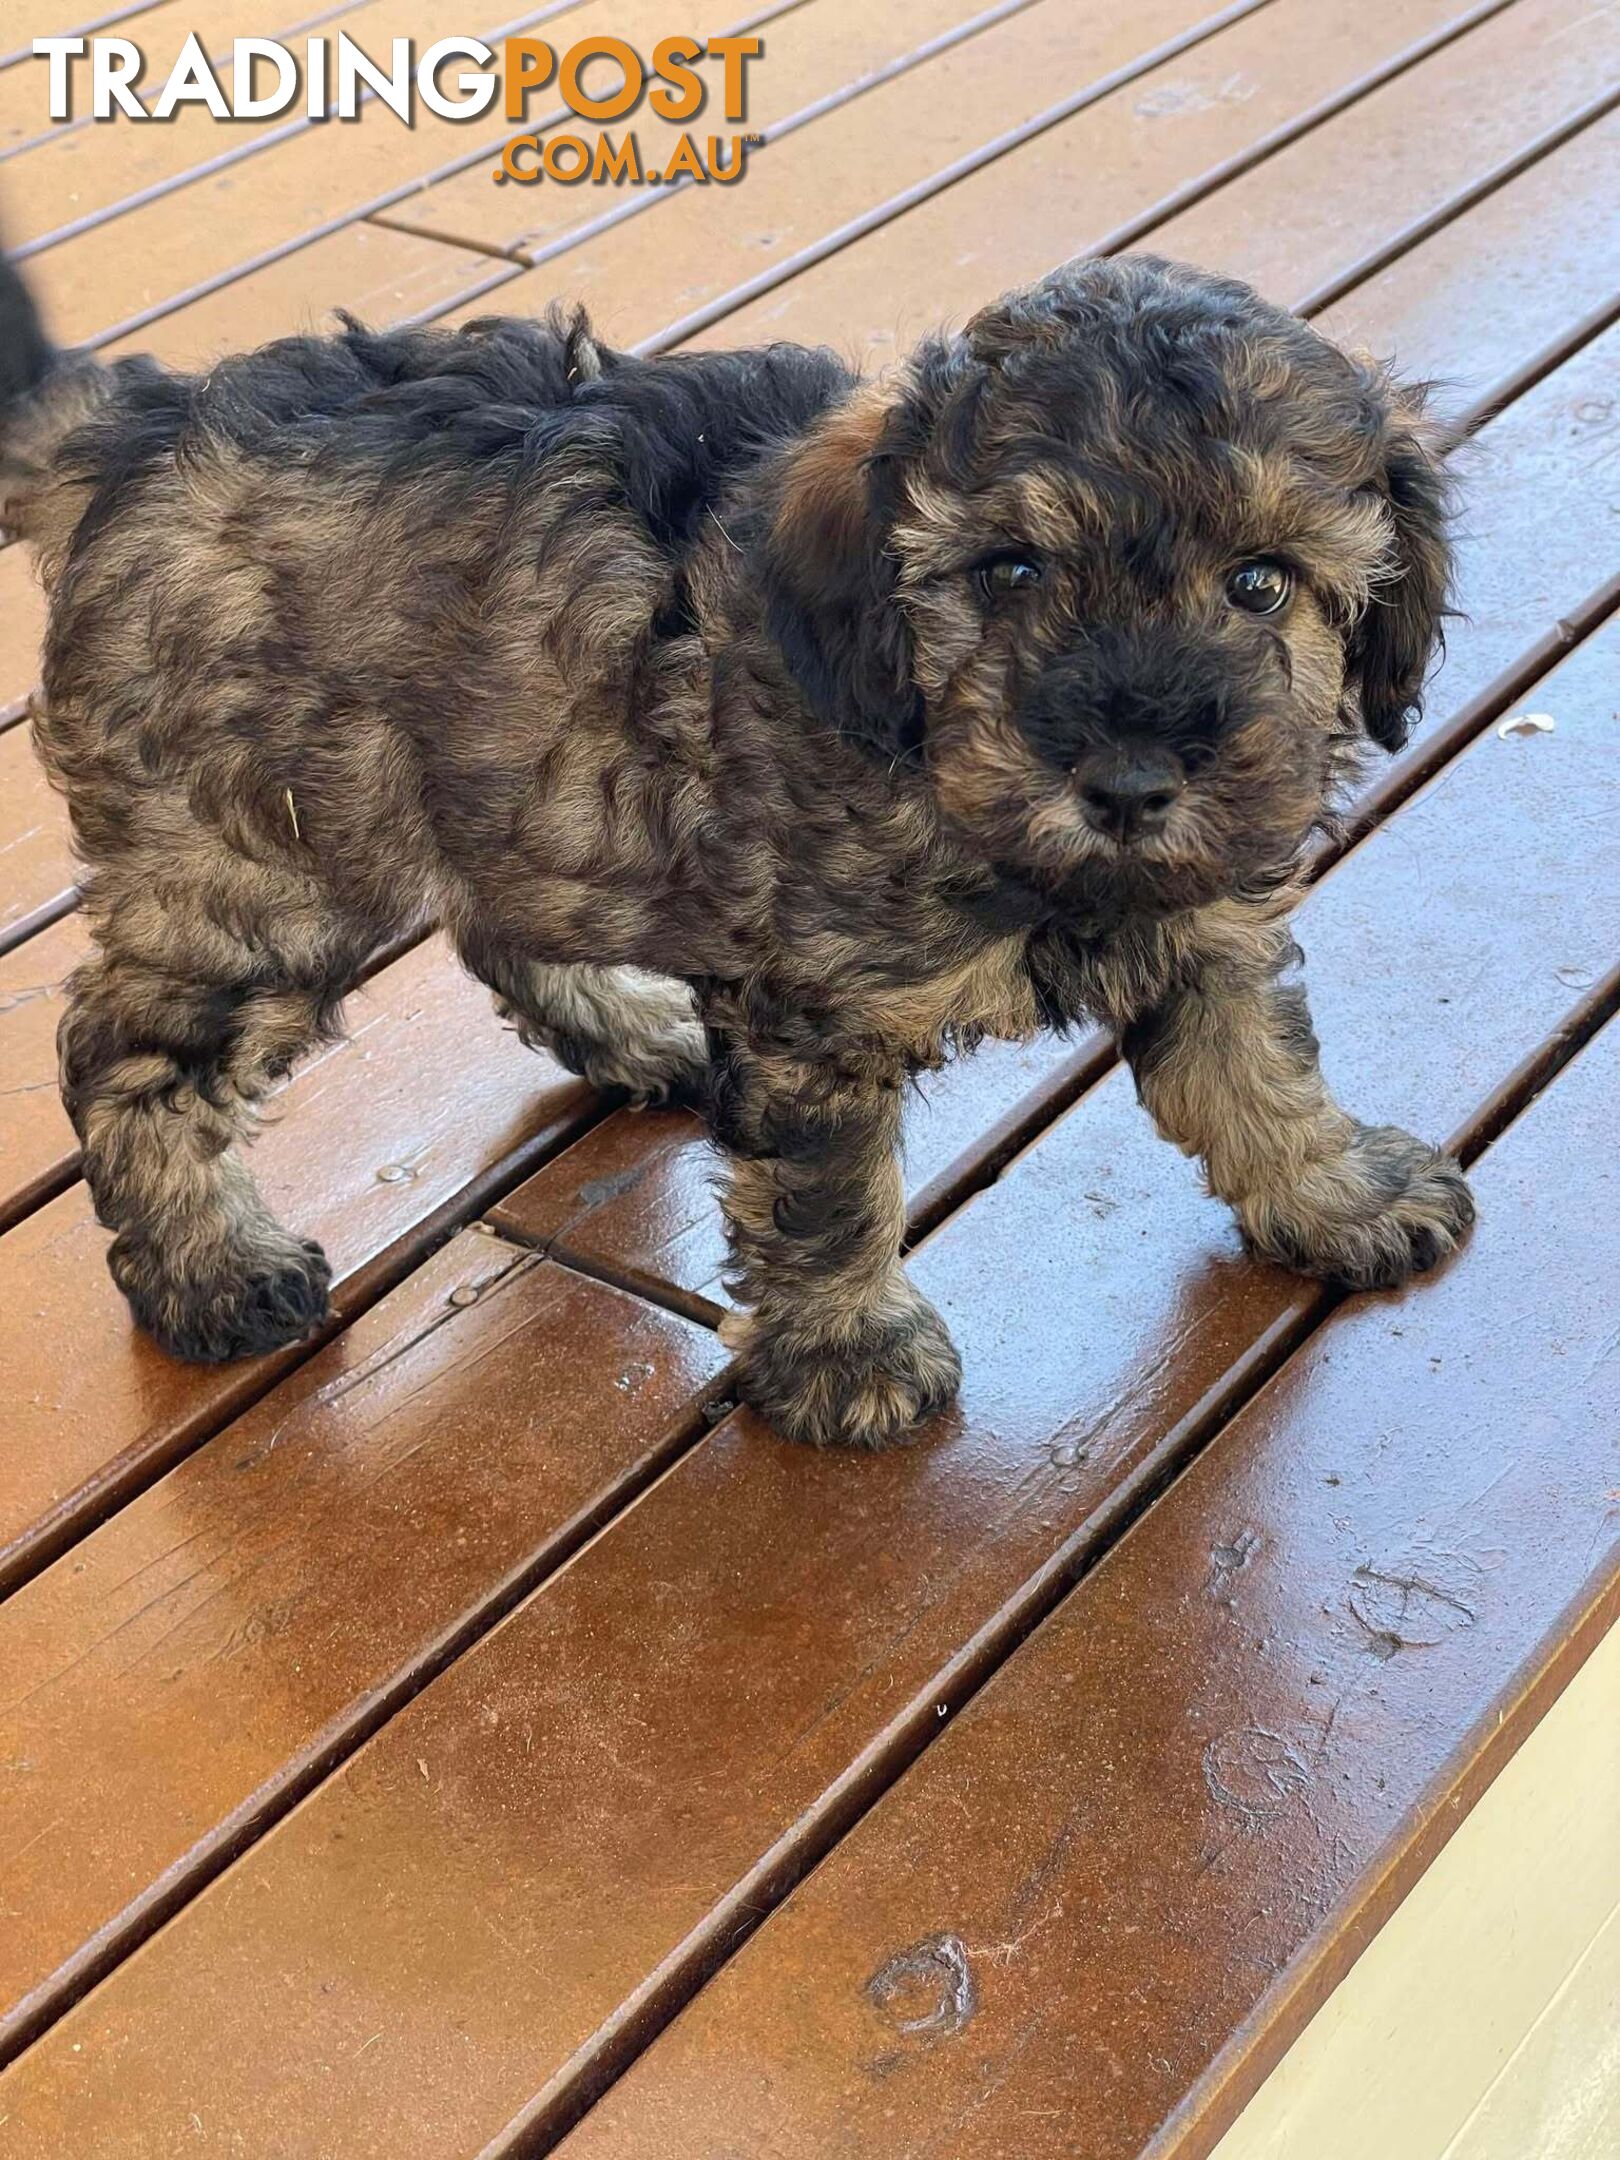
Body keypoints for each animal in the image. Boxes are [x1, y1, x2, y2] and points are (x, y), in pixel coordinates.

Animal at [0, 245, 1468, 1442]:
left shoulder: (1203, 919)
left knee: (499, 915)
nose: (1128, 780)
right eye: (1010, 572)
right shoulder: (811, 1013)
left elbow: (1259, 1071)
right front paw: (849, 1351)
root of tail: (147, 430)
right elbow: (828, 1194)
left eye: (1261, 584)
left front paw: (1338, 1193)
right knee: (127, 1056)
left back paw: (631, 1030)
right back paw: (208, 1271)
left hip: (509, 766)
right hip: (263, 865)